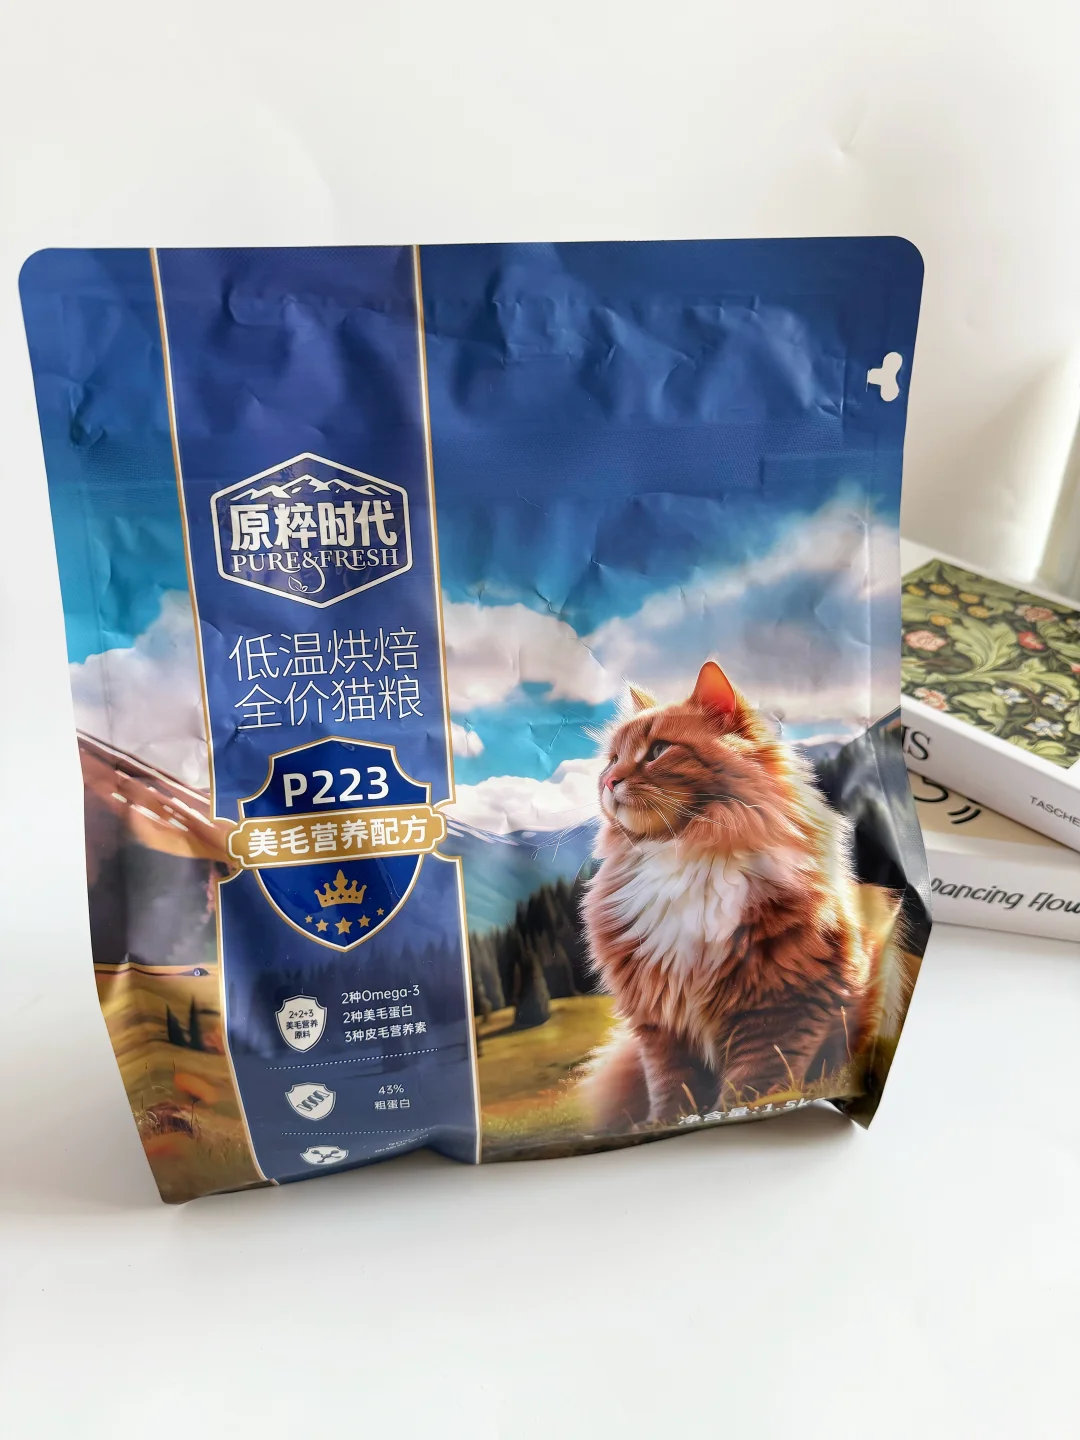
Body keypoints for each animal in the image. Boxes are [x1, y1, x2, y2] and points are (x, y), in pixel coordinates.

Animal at [581, 660, 892, 1128]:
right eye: (613, 759)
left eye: (658, 751)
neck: (685, 852)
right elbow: (672, 1092)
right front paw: (666, 1125)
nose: (609, 781)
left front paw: (735, 1113)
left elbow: (750, 1088)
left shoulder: (783, 1008)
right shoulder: (661, 1025)